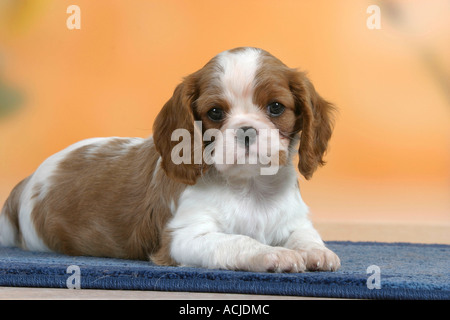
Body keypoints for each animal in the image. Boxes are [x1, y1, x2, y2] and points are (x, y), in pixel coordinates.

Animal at [0, 47, 338, 272]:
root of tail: (27, 181)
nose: (246, 131)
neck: (250, 188)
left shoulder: (293, 221)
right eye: (215, 112)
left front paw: (316, 253)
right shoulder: (185, 237)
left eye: (276, 107)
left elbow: (306, 237)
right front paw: (273, 254)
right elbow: (238, 241)